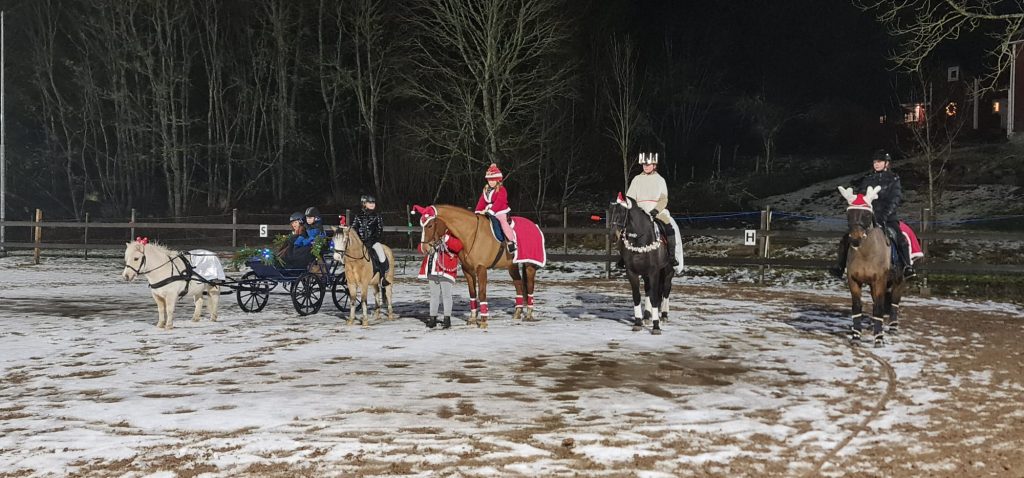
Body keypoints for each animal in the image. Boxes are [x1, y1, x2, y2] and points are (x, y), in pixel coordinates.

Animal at [413, 201, 548, 329]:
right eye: (422, 225)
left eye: (430, 225)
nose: (424, 248)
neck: (471, 234)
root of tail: (534, 225)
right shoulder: (467, 270)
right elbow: (472, 293)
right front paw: (472, 319)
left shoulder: (481, 269)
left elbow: (482, 293)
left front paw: (483, 321)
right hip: (512, 266)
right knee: (518, 284)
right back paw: (517, 312)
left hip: (530, 265)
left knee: (530, 286)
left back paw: (529, 314)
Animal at [606, 194, 671, 337]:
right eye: (610, 212)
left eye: (622, 213)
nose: (613, 236)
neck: (640, 240)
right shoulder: (632, 272)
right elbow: (637, 296)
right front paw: (638, 323)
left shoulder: (654, 272)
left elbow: (654, 297)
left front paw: (656, 326)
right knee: (648, 290)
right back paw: (647, 316)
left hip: (668, 271)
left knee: (666, 289)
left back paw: (664, 315)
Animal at [835, 185, 909, 345]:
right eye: (848, 213)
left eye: (867, 215)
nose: (855, 239)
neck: (866, 253)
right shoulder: (854, 281)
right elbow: (857, 307)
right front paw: (856, 336)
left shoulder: (879, 281)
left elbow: (879, 308)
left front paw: (879, 339)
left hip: (900, 281)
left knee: (894, 303)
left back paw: (893, 328)